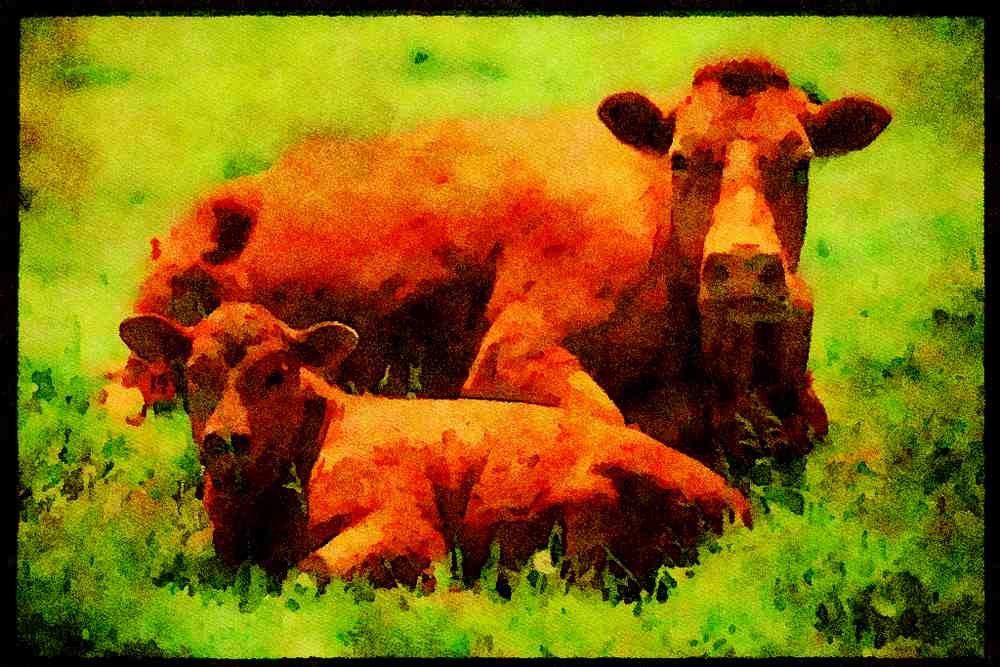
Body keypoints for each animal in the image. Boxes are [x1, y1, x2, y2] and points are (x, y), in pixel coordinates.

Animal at [118, 303, 751, 596]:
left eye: (276, 373)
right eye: (193, 373)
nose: (226, 440)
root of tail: (737, 501)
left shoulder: (410, 527)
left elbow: (308, 571)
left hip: (589, 505)